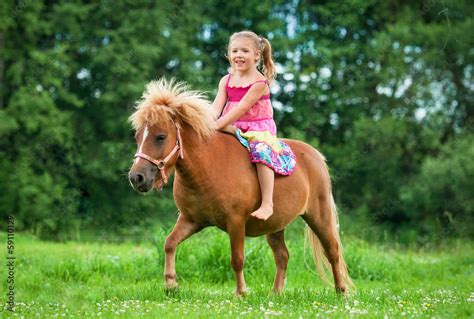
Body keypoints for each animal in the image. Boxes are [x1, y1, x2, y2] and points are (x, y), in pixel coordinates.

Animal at [129, 79, 352, 296]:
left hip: (318, 216)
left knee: (332, 251)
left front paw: (241, 292)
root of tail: (316, 156)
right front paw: (171, 284)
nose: (136, 177)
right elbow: (169, 243)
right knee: (282, 256)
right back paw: (276, 294)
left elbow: (237, 258)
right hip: (275, 225)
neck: (207, 168)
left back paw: (341, 291)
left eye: (160, 137)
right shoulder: (191, 220)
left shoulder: (235, 221)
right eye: (138, 137)